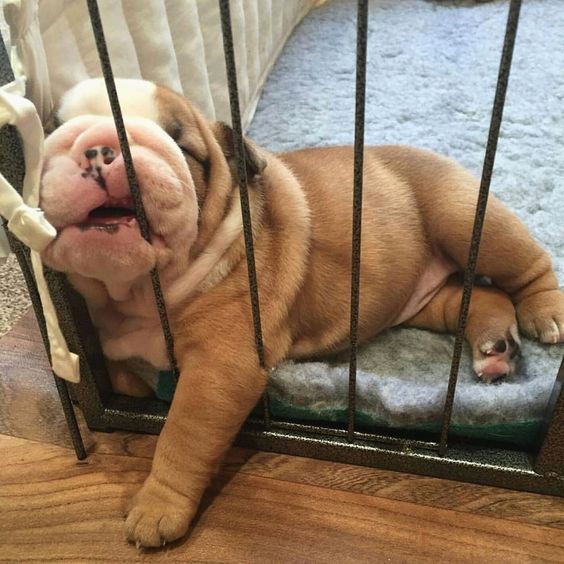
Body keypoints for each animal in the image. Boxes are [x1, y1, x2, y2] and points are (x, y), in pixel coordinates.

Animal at [40, 79, 564, 548]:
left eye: (181, 145)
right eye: (55, 128)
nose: (102, 146)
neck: (136, 290)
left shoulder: (221, 367)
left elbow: (182, 434)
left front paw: (156, 509)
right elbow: (123, 378)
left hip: (467, 218)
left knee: (528, 268)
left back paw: (547, 313)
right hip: (424, 298)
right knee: (475, 298)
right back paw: (495, 349)